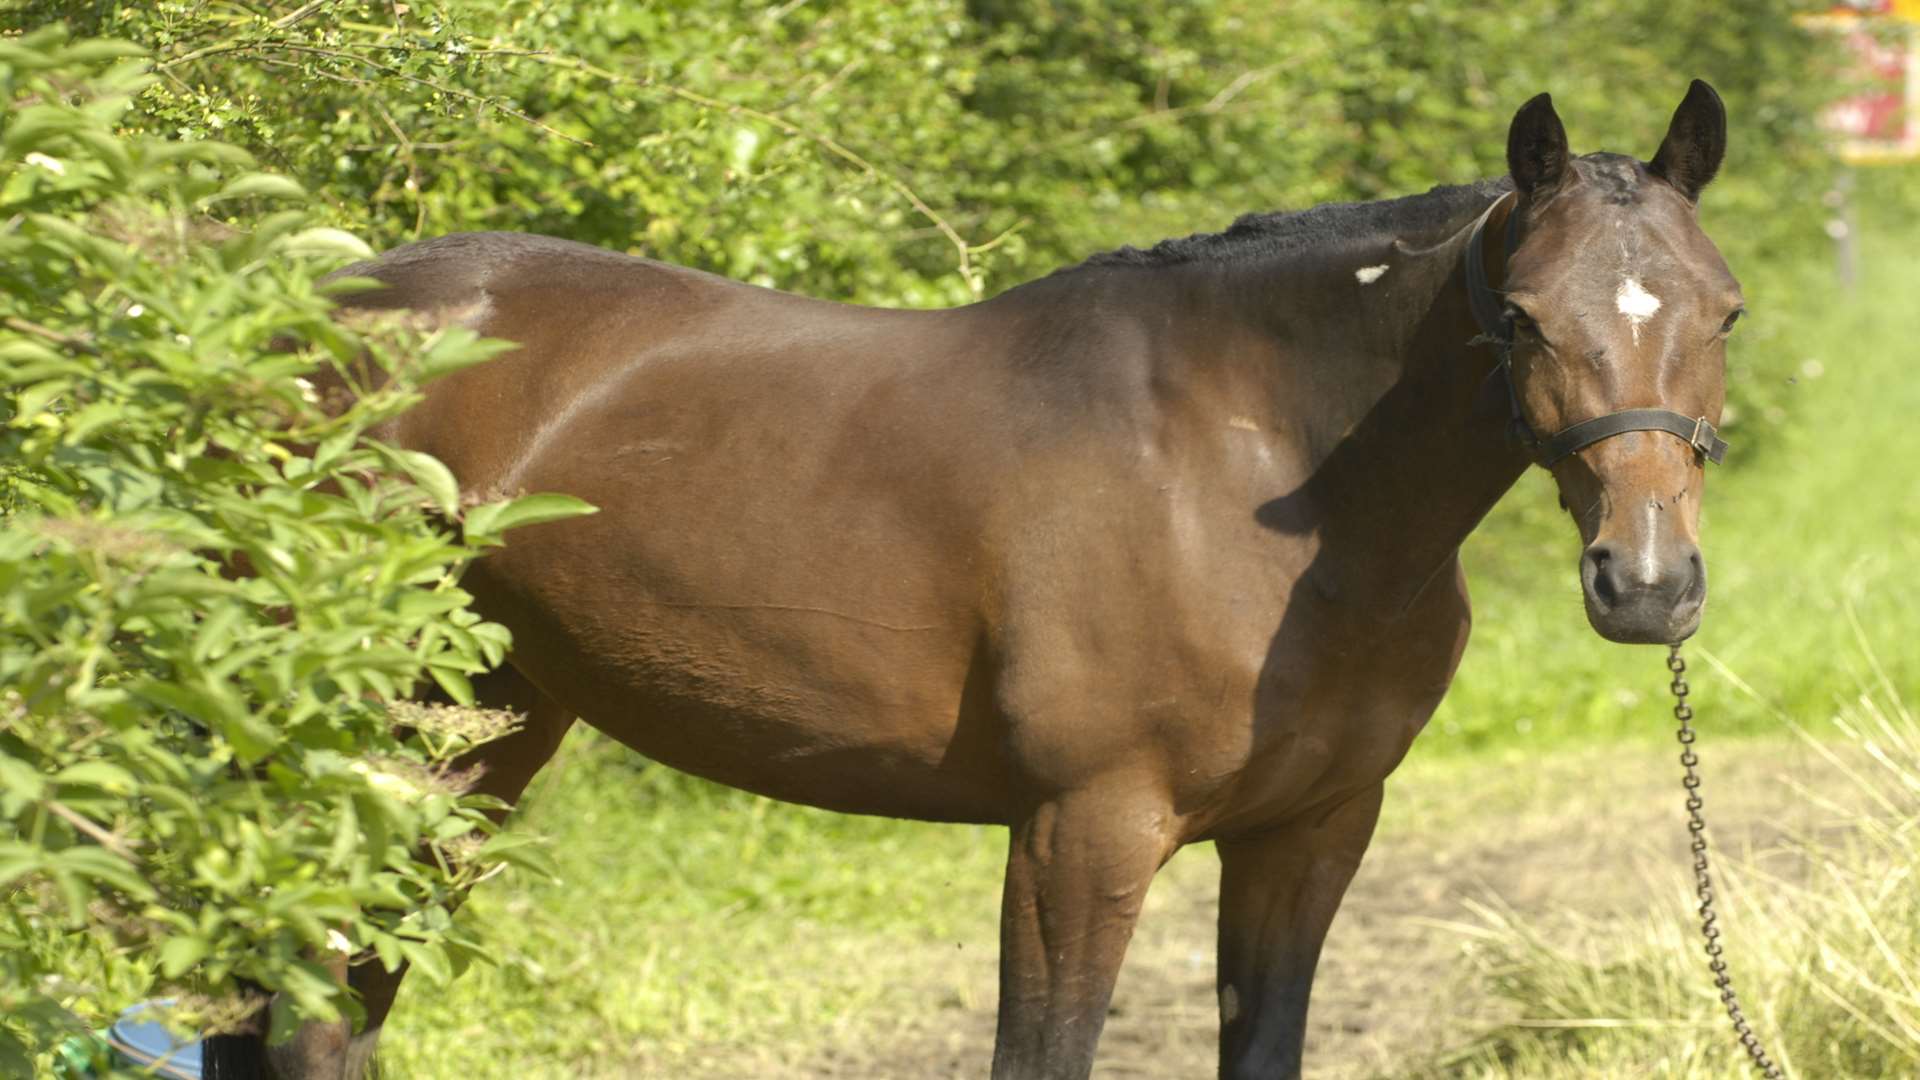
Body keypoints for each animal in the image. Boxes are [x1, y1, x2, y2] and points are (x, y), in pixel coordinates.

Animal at [210, 84, 1743, 1076]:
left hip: (476, 738)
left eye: (1723, 311)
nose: (1646, 583)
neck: (1260, 473)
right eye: (1525, 317)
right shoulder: (1082, 833)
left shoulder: (1311, 834)